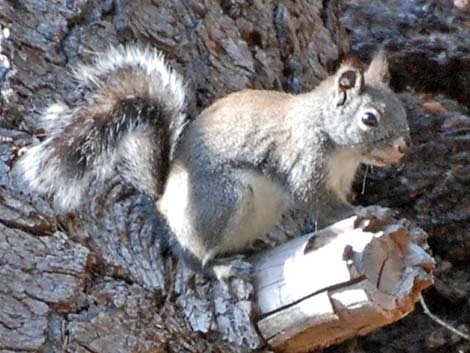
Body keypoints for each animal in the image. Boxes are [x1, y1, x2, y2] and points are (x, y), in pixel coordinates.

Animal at [14, 45, 410, 280]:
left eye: (402, 108)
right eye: (369, 119)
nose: (404, 148)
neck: (340, 147)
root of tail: (164, 204)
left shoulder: (340, 178)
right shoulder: (303, 162)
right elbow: (323, 204)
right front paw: (368, 211)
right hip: (222, 201)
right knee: (195, 260)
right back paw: (222, 268)